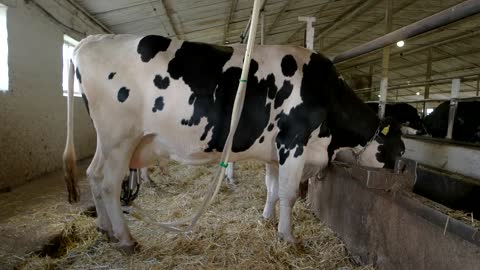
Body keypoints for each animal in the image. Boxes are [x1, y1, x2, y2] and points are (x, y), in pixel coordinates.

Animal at [62, 34, 404, 252]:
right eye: (400, 147)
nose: (402, 173)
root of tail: (90, 40)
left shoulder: (274, 153)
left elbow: (272, 189)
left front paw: (266, 220)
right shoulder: (293, 142)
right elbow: (289, 194)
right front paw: (288, 237)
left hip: (108, 141)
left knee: (93, 176)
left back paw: (105, 230)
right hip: (120, 138)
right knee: (108, 184)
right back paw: (126, 239)